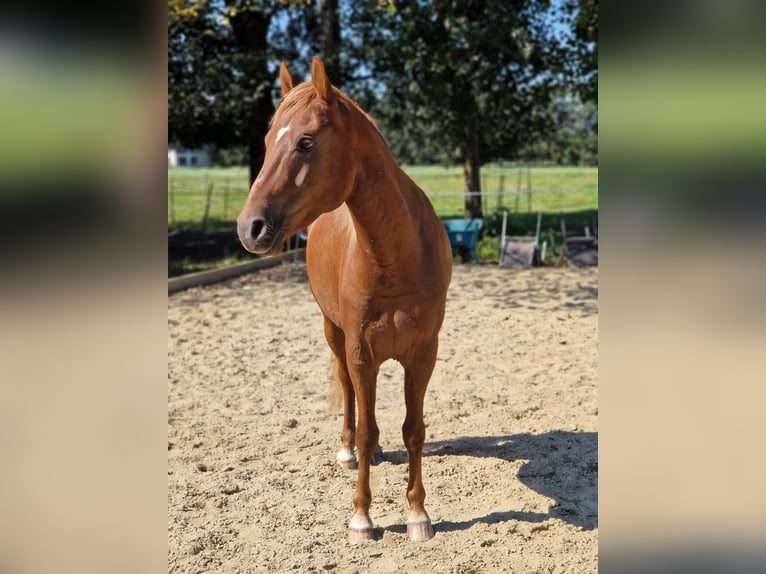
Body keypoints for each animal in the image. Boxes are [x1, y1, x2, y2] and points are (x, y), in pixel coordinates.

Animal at [237, 58, 452, 544]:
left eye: (306, 141)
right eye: (267, 143)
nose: (249, 228)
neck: (397, 257)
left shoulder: (422, 354)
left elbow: (414, 431)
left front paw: (418, 514)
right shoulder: (361, 352)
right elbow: (370, 430)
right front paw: (362, 518)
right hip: (334, 334)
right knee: (350, 396)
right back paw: (348, 452)